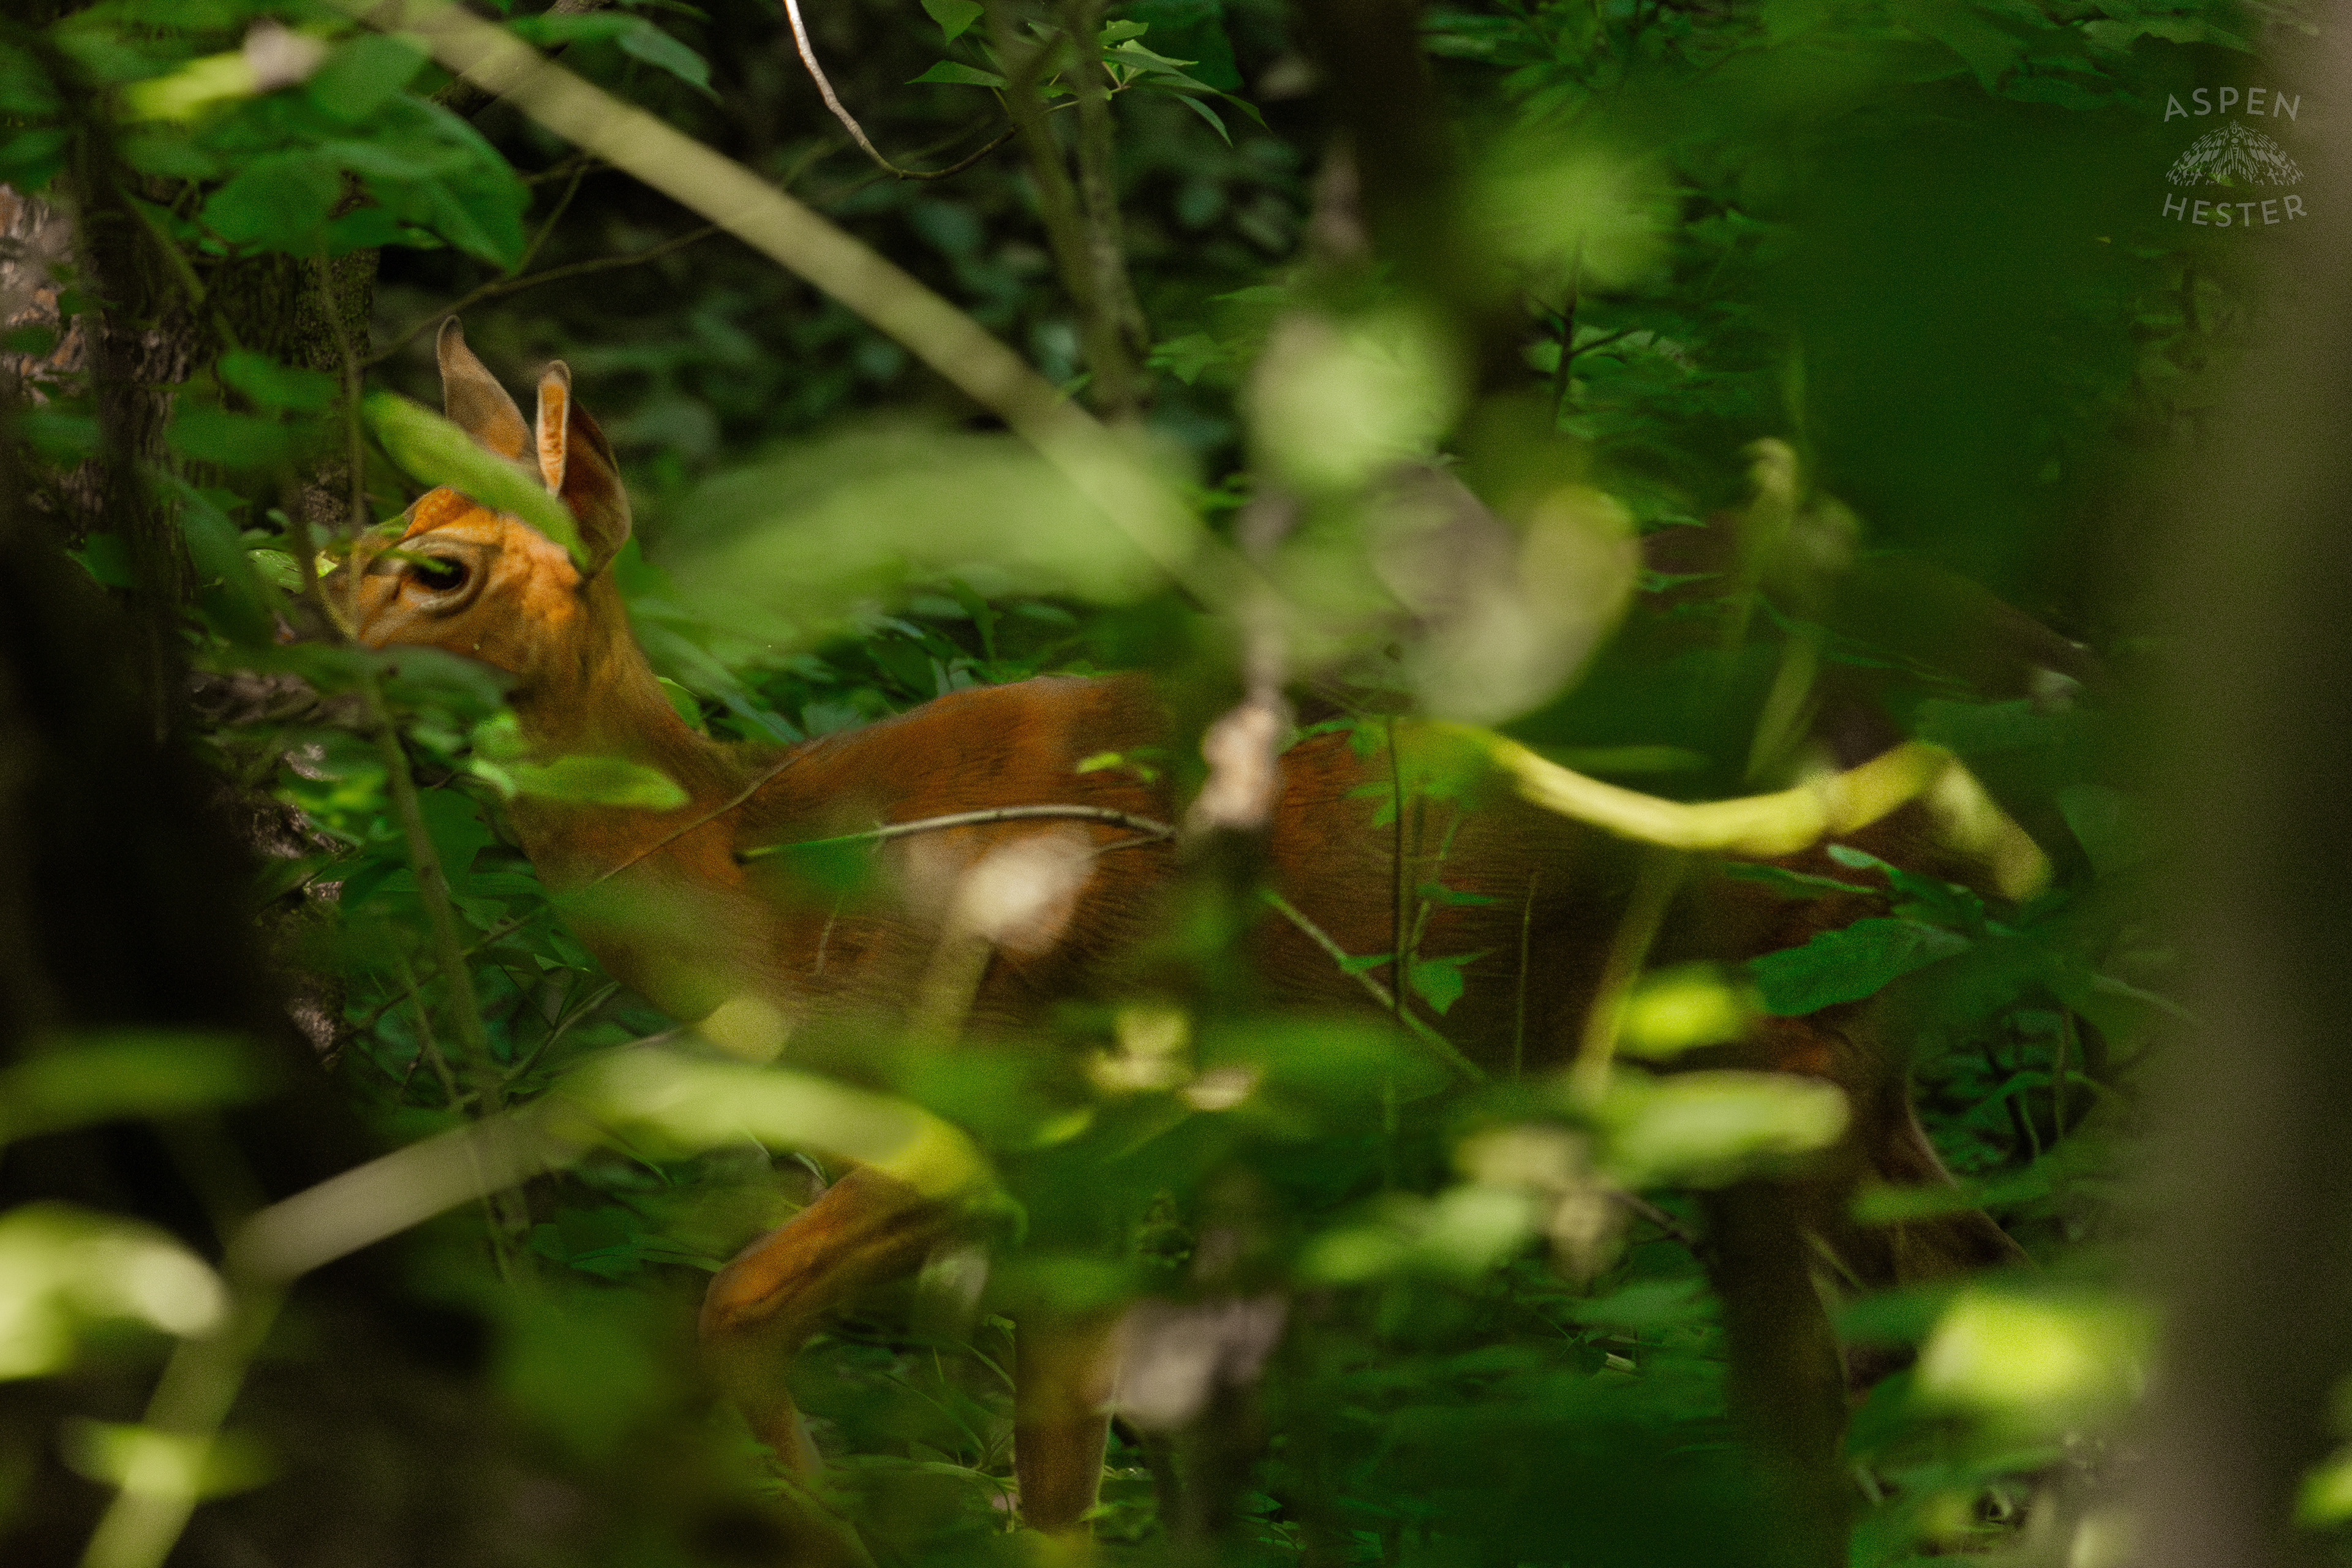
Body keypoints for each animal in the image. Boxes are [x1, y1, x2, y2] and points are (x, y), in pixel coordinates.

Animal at [338, 320, 2035, 1542]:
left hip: (1764, 1016)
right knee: (1972, 1286)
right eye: (373, 532)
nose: (319, 624)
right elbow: (1049, 1476)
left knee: (1837, 1378)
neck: (767, 876)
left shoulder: (1030, 1102)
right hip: (1844, 1032)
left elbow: (740, 1309)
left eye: (442, 566)